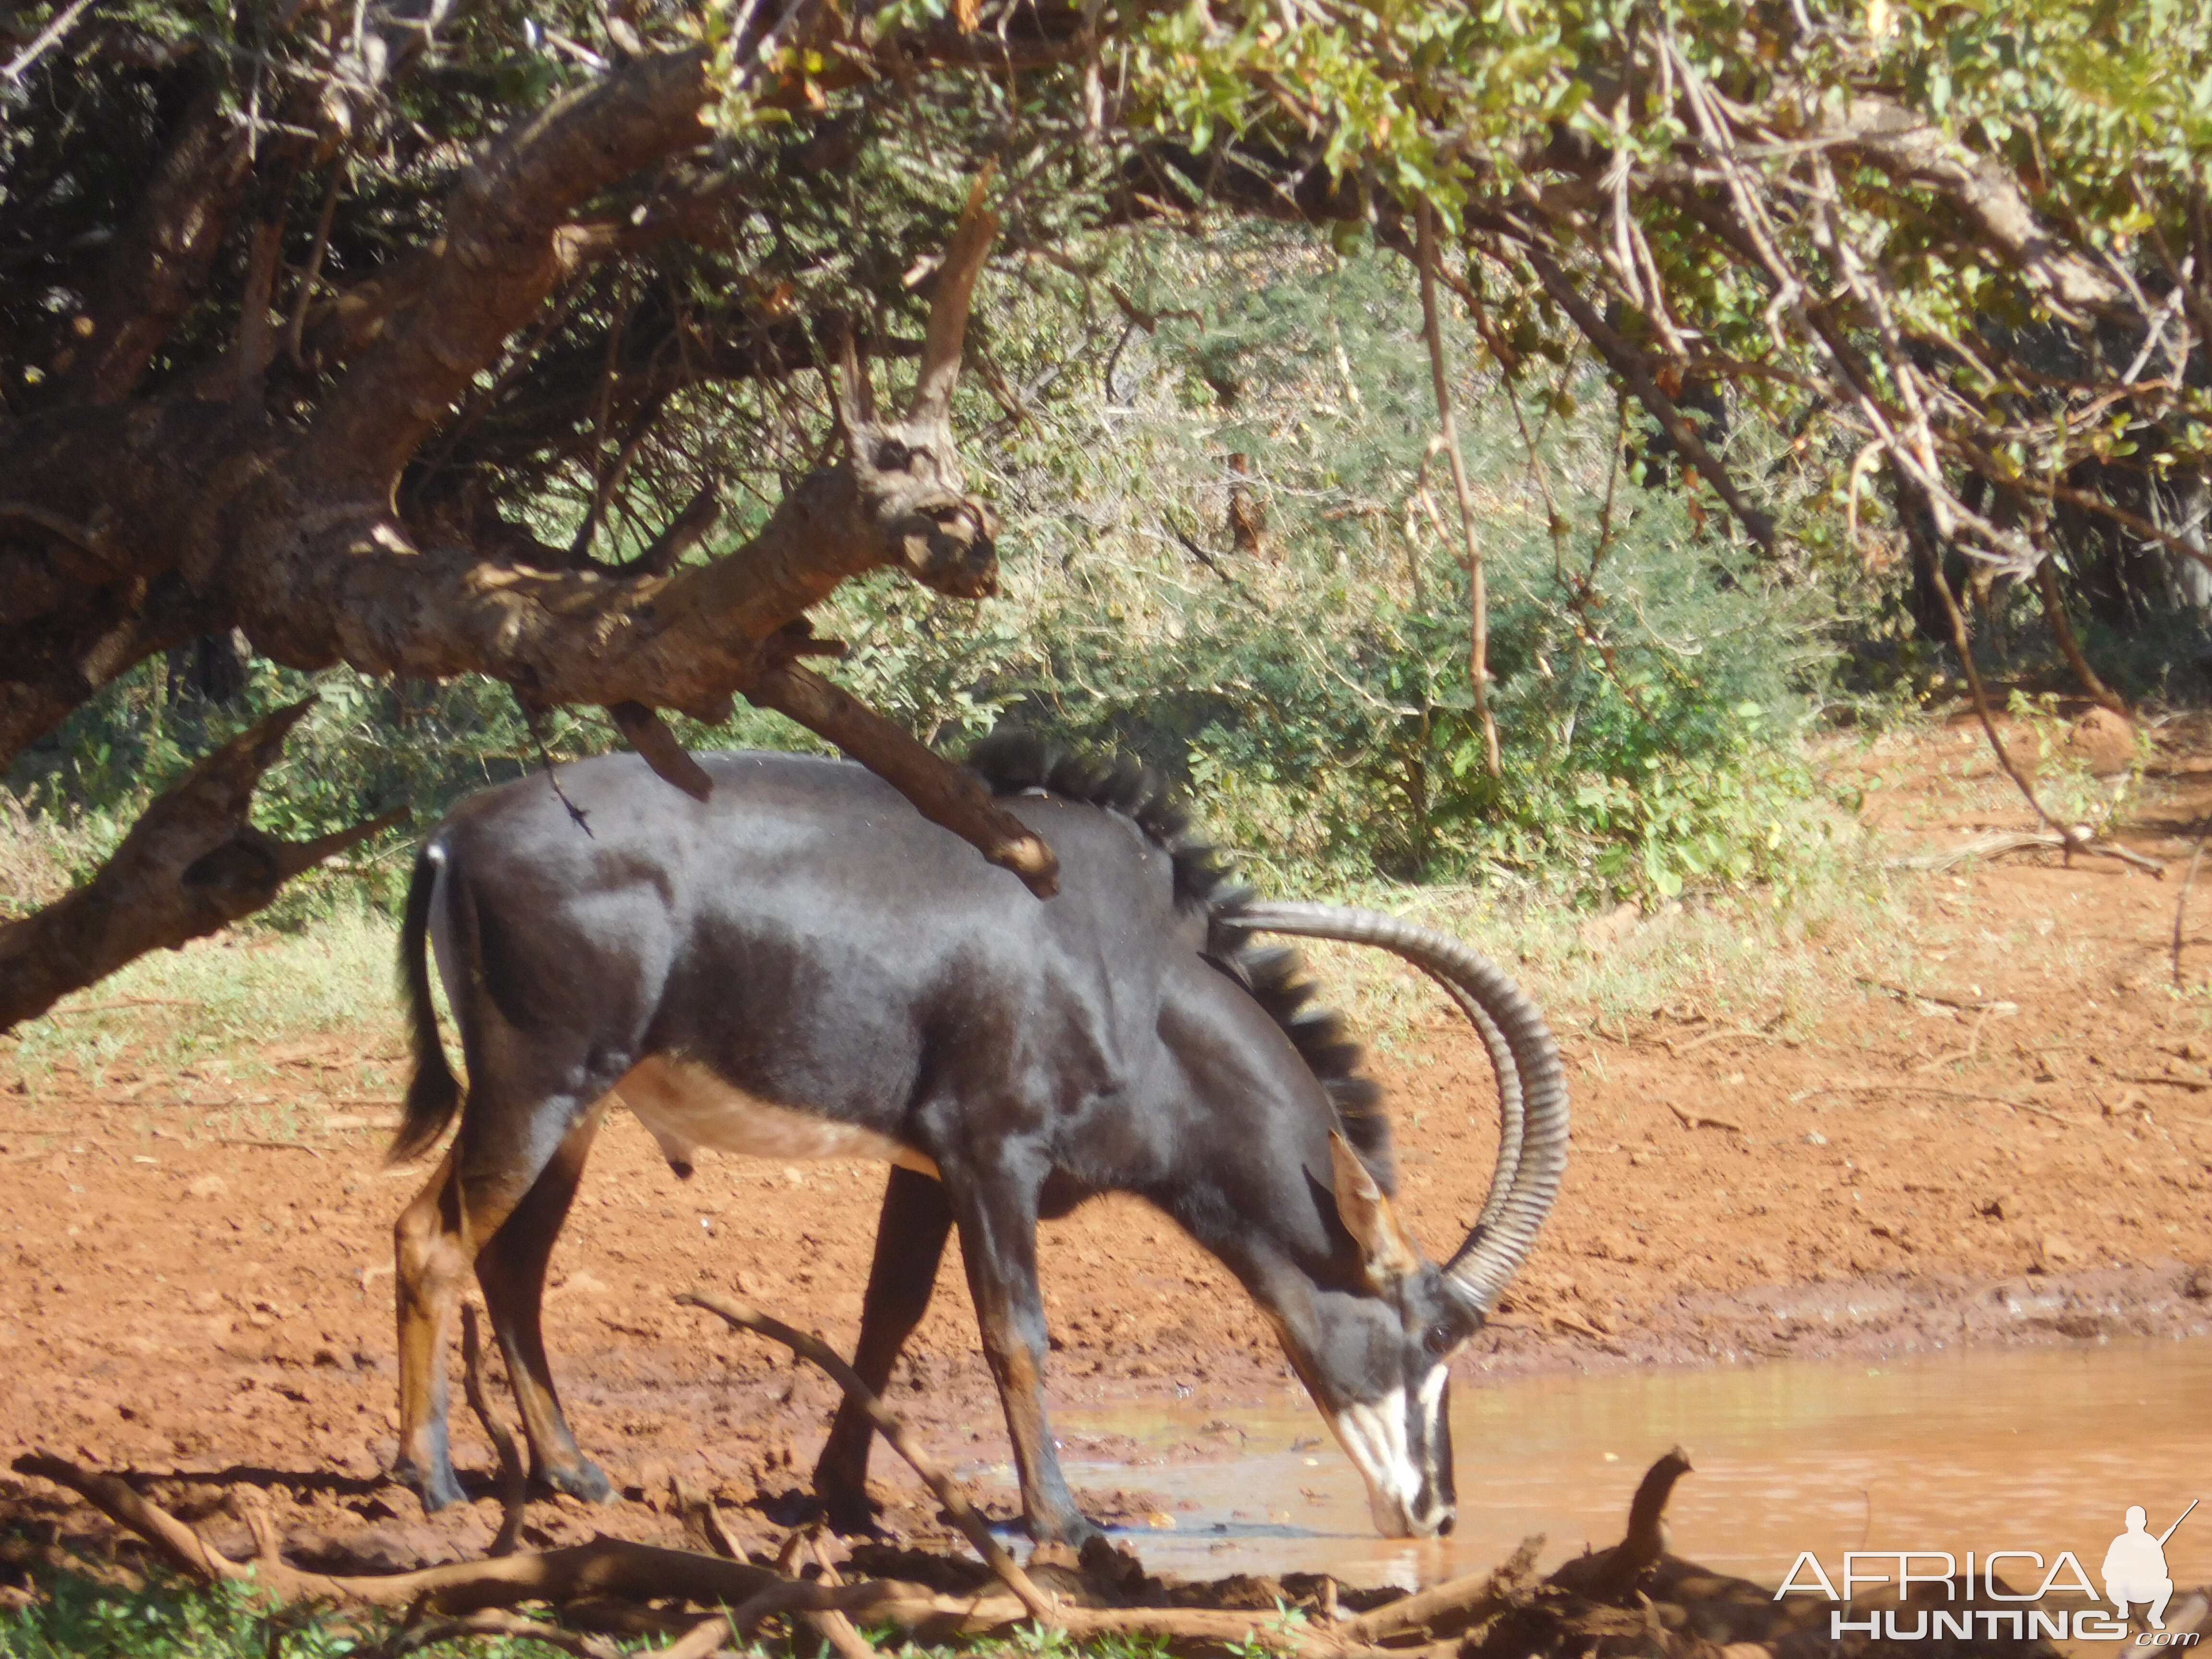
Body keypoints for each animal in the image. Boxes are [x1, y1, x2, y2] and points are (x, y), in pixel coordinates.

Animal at [394, 739, 1575, 1548]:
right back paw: (431, 1478)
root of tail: (453, 833)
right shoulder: (994, 1152)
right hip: (537, 1085)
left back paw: (573, 1474)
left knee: (514, 1263)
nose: (1437, 1516)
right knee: (428, 1238)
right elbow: (1017, 1332)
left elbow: (889, 1312)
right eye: (1426, 1338)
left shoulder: (926, 1167)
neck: (1129, 968)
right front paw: (1062, 1521)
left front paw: (840, 1495)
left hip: (579, 1109)